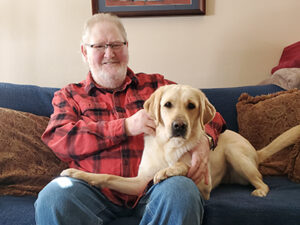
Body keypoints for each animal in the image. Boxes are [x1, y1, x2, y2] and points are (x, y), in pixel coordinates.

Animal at [61, 85, 300, 200]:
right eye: (167, 104)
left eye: (191, 106)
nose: (179, 126)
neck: (168, 147)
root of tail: (255, 151)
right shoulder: (138, 182)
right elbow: (107, 177)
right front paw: (77, 174)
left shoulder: (204, 187)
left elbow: (183, 165)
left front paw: (168, 170)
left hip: (236, 155)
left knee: (263, 182)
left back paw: (260, 191)